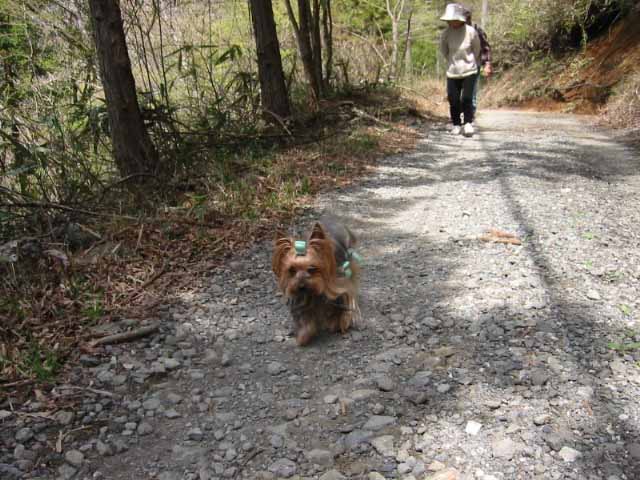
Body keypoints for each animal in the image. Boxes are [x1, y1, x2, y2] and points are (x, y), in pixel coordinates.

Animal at [272, 218, 361, 346]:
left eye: (312, 268)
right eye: (291, 270)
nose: (301, 286)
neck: (313, 293)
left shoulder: (340, 287)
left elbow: (343, 303)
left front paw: (338, 323)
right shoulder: (301, 299)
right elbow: (305, 318)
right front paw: (304, 335)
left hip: (348, 263)